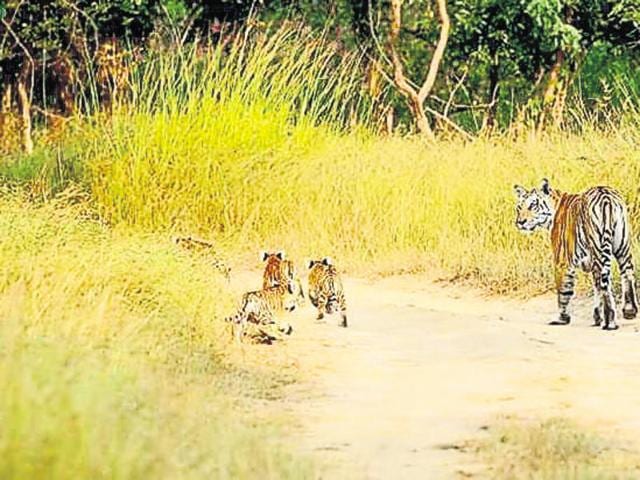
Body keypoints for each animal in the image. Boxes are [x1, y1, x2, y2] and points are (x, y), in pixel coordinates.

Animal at [513, 178, 638, 330]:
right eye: (519, 208)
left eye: (533, 205)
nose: (520, 222)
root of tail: (605, 196)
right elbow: (596, 287)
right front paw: (597, 318)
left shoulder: (562, 262)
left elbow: (563, 291)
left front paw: (562, 319)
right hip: (622, 247)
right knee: (627, 274)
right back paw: (629, 311)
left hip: (599, 250)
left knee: (606, 283)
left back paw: (609, 322)